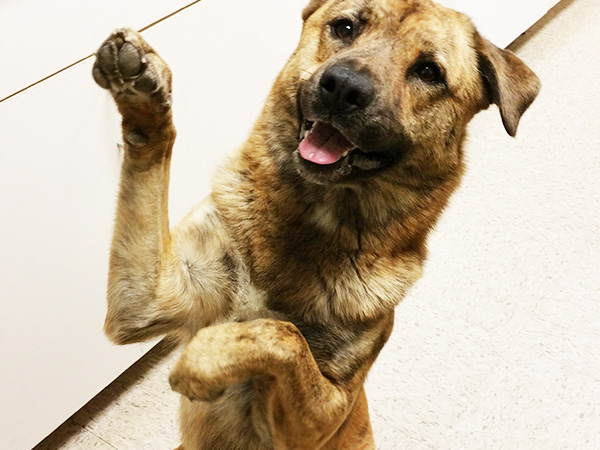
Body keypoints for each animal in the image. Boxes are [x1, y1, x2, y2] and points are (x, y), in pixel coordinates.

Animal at [91, 0, 540, 450]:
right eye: (345, 28)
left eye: (429, 72)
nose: (342, 88)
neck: (309, 220)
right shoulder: (146, 301)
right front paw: (144, 99)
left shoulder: (323, 415)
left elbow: (281, 336)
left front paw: (206, 358)